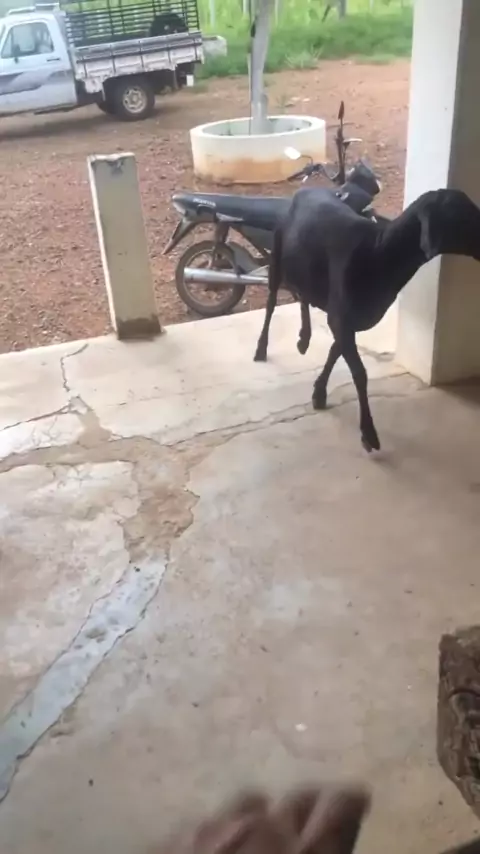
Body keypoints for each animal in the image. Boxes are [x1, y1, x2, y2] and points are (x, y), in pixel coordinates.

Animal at [254, 187, 480, 452]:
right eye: (461, 214)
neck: (378, 255)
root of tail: (306, 189)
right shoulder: (341, 318)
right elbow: (359, 372)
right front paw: (369, 433)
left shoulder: (350, 319)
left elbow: (335, 351)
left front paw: (319, 392)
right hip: (277, 256)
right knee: (272, 301)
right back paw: (262, 348)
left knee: (303, 294)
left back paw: (304, 338)